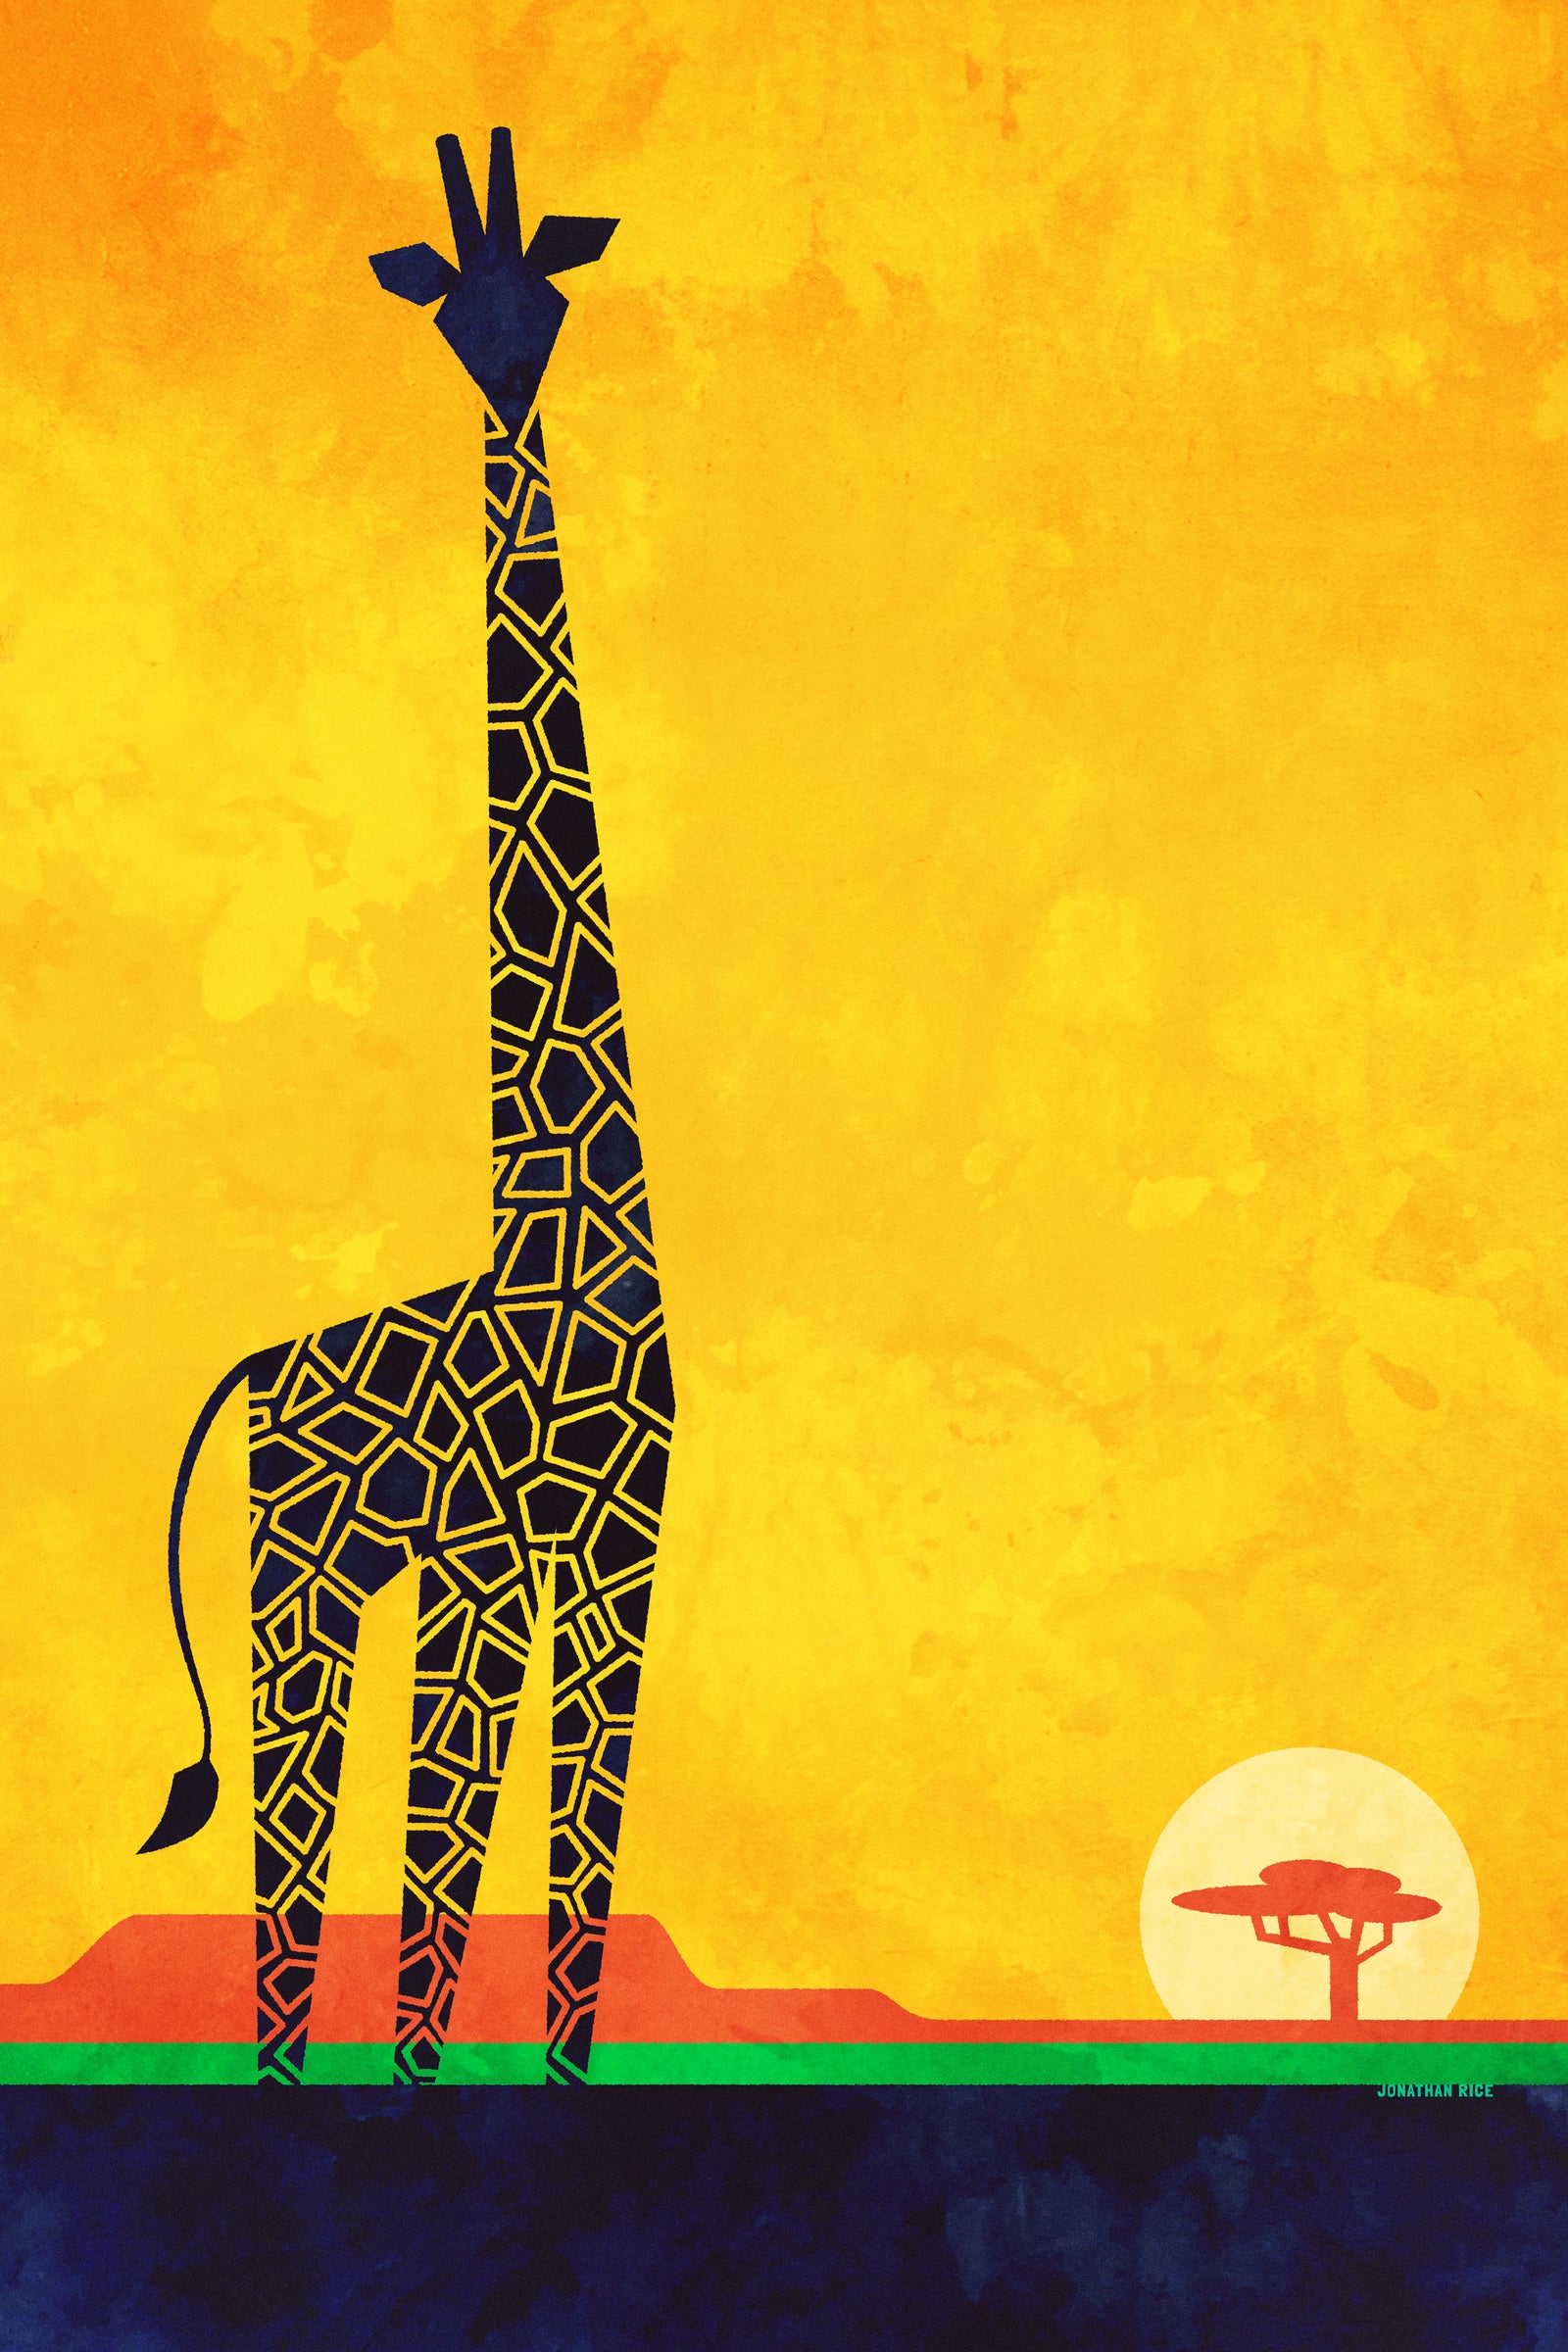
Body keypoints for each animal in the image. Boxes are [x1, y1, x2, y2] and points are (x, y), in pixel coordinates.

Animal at [140, 129, 674, 2090]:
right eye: (452, 308)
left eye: (555, 292)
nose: (510, 382)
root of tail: (245, 1373)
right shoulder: (499, 1561)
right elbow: (447, 1871)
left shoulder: (600, 1555)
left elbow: (558, 1872)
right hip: (298, 1573)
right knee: (289, 1835)